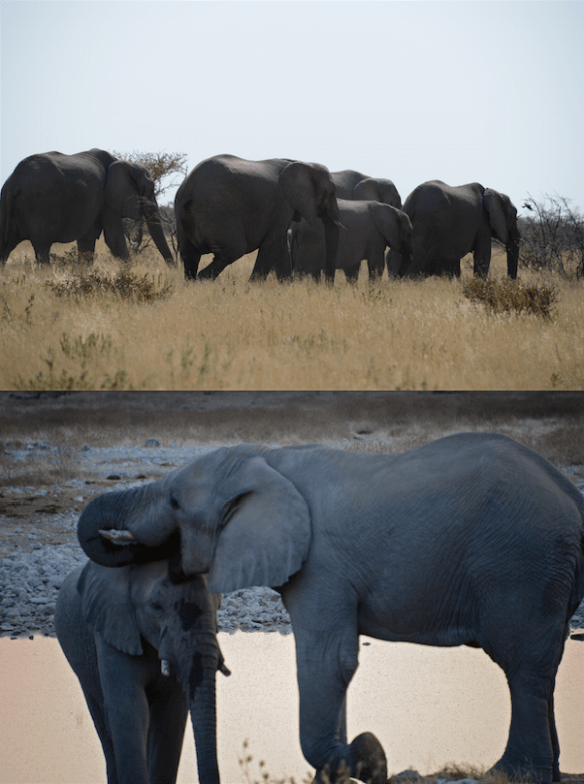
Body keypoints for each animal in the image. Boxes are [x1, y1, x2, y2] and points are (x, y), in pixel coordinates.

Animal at [0, 148, 174, 266]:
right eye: (151, 189)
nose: (173, 271)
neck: (124, 163)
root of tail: (13, 180)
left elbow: (87, 239)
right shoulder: (106, 197)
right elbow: (114, 239)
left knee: (5, 246)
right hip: (39, 205)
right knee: (42, 247)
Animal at [54, 559, 230, 784]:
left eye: (218, 605)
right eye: (156, 607)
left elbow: (170, 714)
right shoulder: (112, 629)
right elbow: (130, 708)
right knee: (104, 724)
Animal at [77, 432, 584, 784]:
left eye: (176, 501)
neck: (266, 458)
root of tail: (572, 499)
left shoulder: (321, 565)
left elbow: (327, 661)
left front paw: (366, 757)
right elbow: (334, 663)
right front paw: (345, 765)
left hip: (521, 565)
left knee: (522, 664)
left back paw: (510, 773)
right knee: (546, 663)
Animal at [174, 154, 342, 283]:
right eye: (332, 193)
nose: (329, 286)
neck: (301, 162)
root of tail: (189, 187)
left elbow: (281, 245)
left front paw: (288, 287)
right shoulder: (283, 204)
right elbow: (272, 244)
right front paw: (253, 287)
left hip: (182, 212)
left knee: (189, 256)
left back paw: (191, 286)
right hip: (216, 212)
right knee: (234, 250)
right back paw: (201, 282)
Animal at [387, 180, 521, 279]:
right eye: (514, 216)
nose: (509, 281)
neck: (492, 192)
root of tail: (412, 203)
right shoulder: (483, 224)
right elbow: (483, 256)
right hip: (428, 225)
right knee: (416, 257)